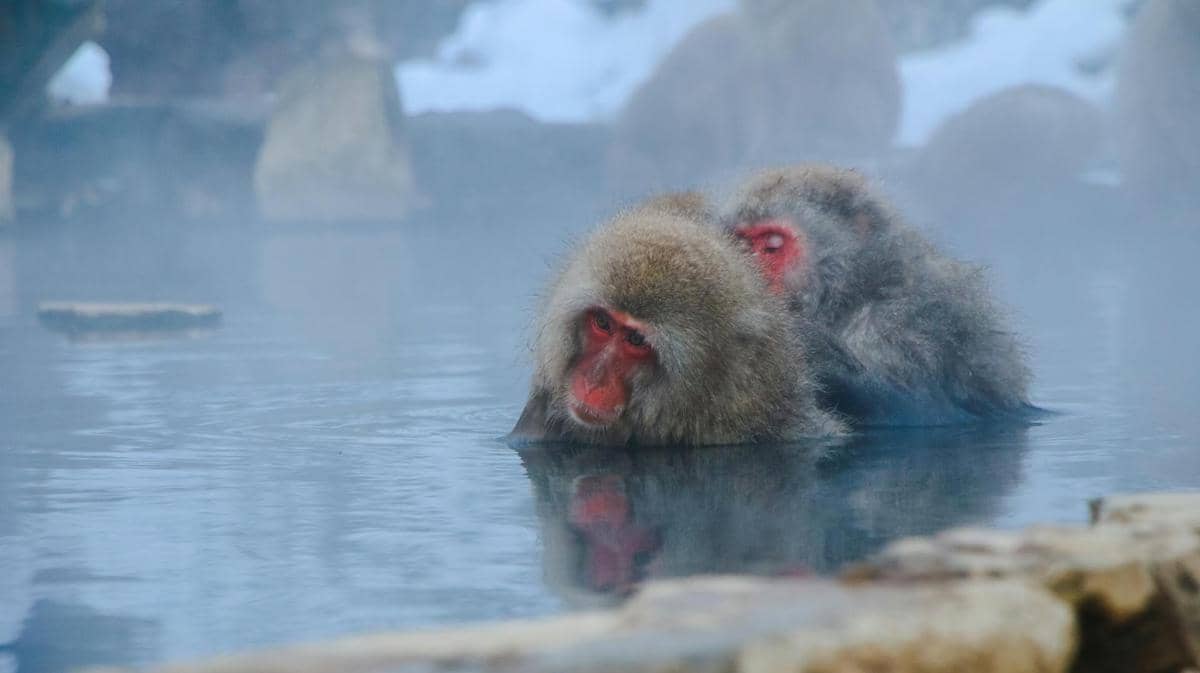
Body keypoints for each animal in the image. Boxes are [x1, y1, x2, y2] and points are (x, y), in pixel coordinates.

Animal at [724, 165, 1033, 426]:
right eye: (742, 242)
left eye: (772, 246)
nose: (749, 274)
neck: (854, 292)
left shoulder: (904, 322)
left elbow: (919, 409)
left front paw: (812, 346)